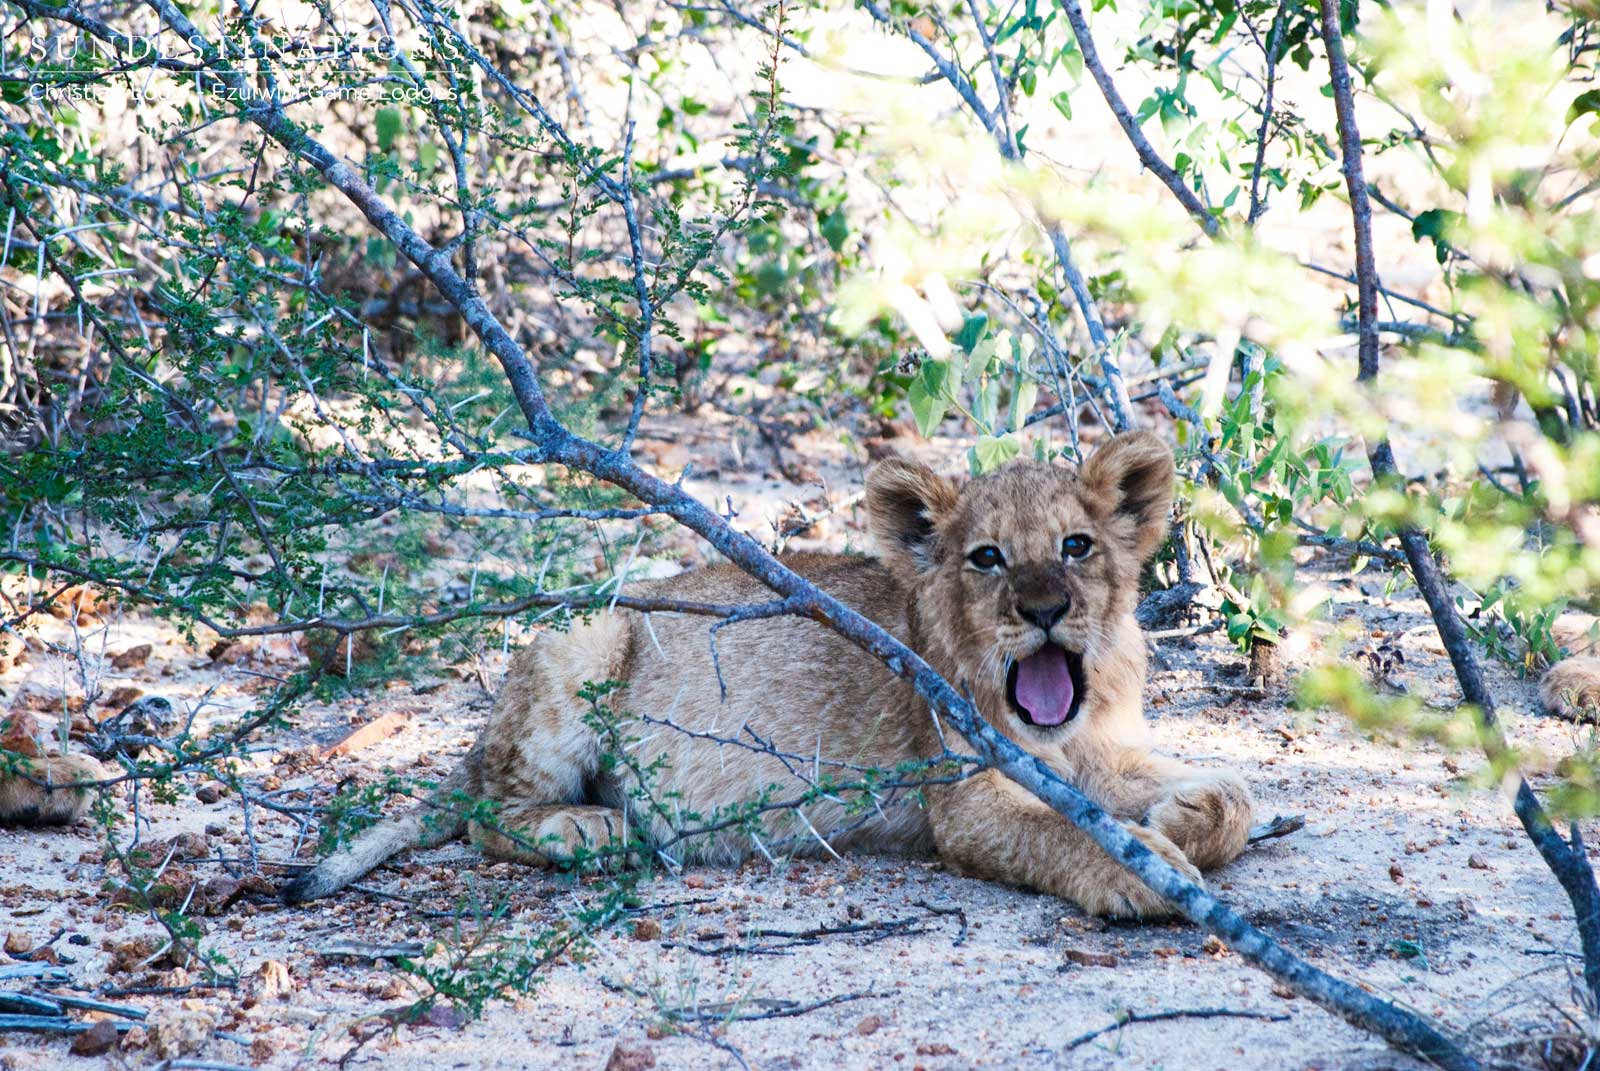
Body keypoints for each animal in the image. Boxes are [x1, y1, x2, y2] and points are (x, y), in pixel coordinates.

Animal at [282, 431, 1255, 917]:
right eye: (987, 558)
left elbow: (1236, 794)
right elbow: (1066, 831)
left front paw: (1185, 813)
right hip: (585, 632)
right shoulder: (966, 797)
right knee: (489, 813)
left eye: (1076, 546)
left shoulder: (1104, 747)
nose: (1046, 609)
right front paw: (1149, 871)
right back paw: (592, 828)